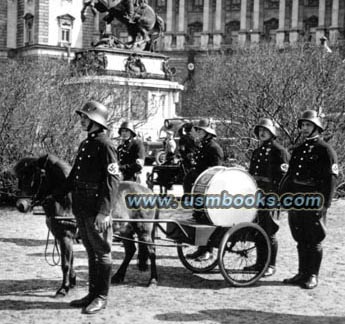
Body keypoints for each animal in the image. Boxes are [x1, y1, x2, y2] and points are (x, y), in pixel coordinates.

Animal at [13, 154, 159, 296]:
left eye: (35, 177)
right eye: (20, 178)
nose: (21, 205)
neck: (66, 202)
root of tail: (148, 191)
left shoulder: (66, 236)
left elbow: (65, 263)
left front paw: (63, 288)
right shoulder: (61, 237)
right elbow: (70, 260)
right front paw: (71, 282)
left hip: (143, 230)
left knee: (151, 251)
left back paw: (153, 280)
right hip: (125, 230)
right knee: (130, 251)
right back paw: (118, 276)